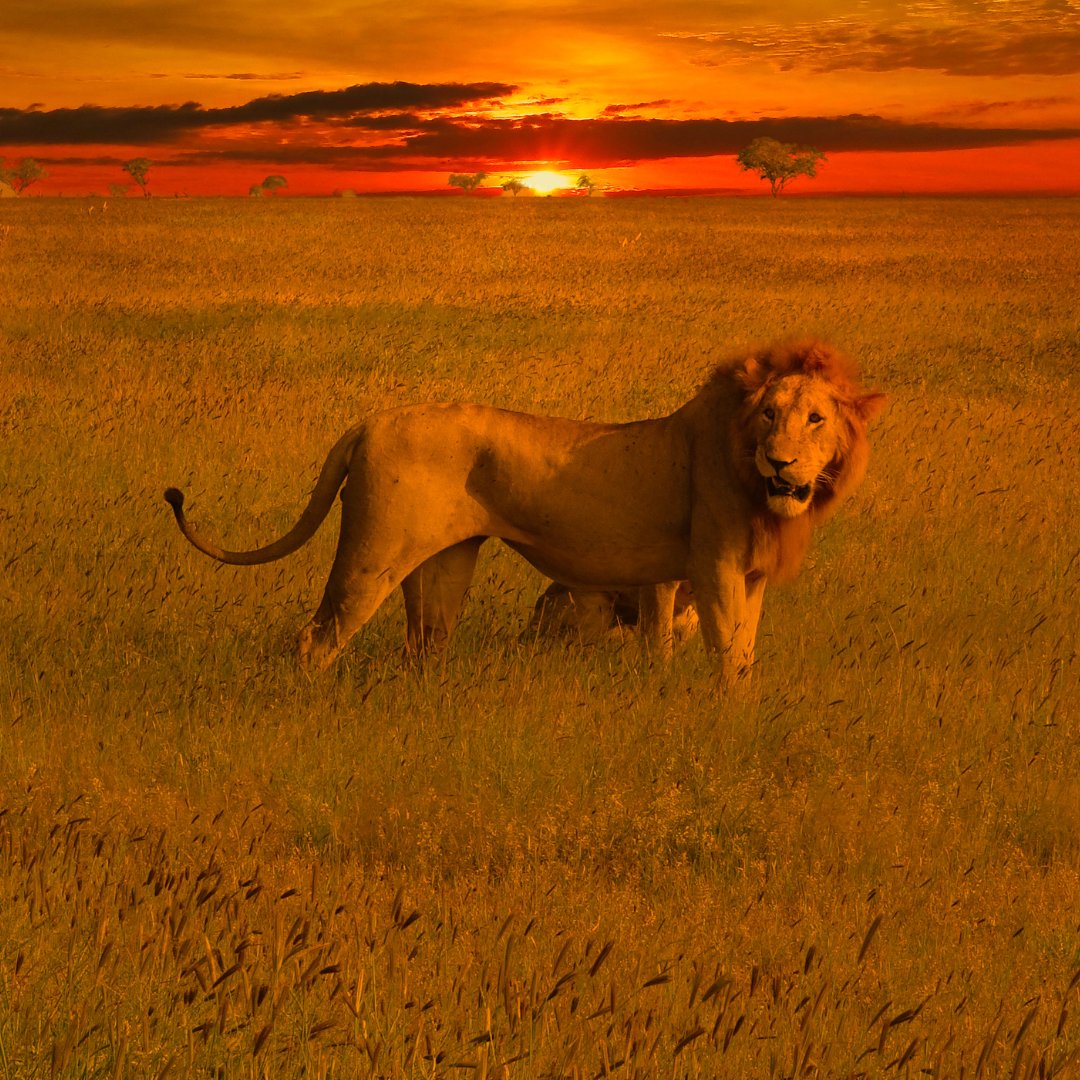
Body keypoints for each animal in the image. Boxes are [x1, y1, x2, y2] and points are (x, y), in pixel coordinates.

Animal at [164, 339, 885, 684]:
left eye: (815, 420)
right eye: (769, 414)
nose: (781, 463)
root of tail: (370, 421)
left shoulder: (749, 576)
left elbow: (743, 651)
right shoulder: (712, 569)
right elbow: (725, 657)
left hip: (441, 564)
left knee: (424, 645)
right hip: (373, 554)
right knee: (317, 638)